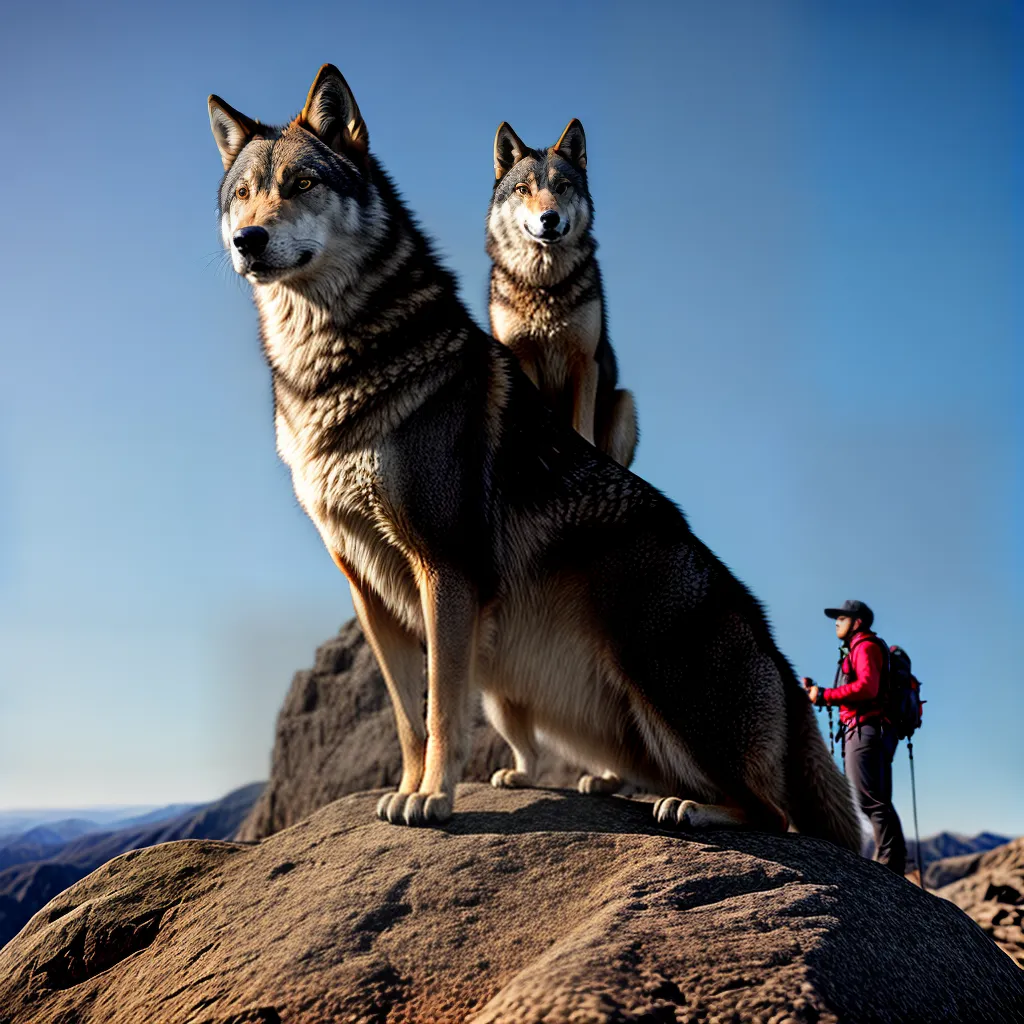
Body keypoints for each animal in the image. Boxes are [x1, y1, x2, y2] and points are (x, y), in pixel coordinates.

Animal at [487, 120, 638, 467]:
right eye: (523, 189)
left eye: (563, 186)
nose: (549, 218)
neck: (545, 285)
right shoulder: (523, 356)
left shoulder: (584, 361)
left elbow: (583, 432)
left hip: (624, 403)